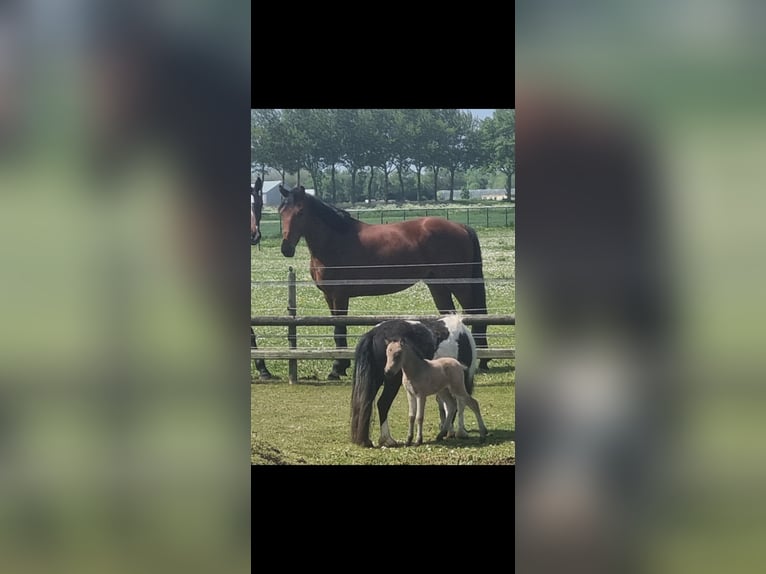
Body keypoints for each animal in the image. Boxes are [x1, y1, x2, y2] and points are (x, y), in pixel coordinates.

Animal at [278, 184, 490, 380]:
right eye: (281, 212)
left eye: (300, 212)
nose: (286, 248)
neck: (334, 241)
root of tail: (461, 227)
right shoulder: (329, 296)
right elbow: (336, 330)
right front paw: (340, 366)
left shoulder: (339, 296)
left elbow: (339, 330)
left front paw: (337, 368)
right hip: (438, 286)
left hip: (459, 284)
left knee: (476, 314)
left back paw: (483, 360)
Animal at [350, 314, 477, 448]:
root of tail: (373, 333)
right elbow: (459, 403)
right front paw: (459, 432)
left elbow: (444, 404)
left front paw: (448, 430)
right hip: (392, 382)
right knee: (383, 403)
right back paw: (388, 439)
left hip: (376, 381)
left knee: (366, 404)